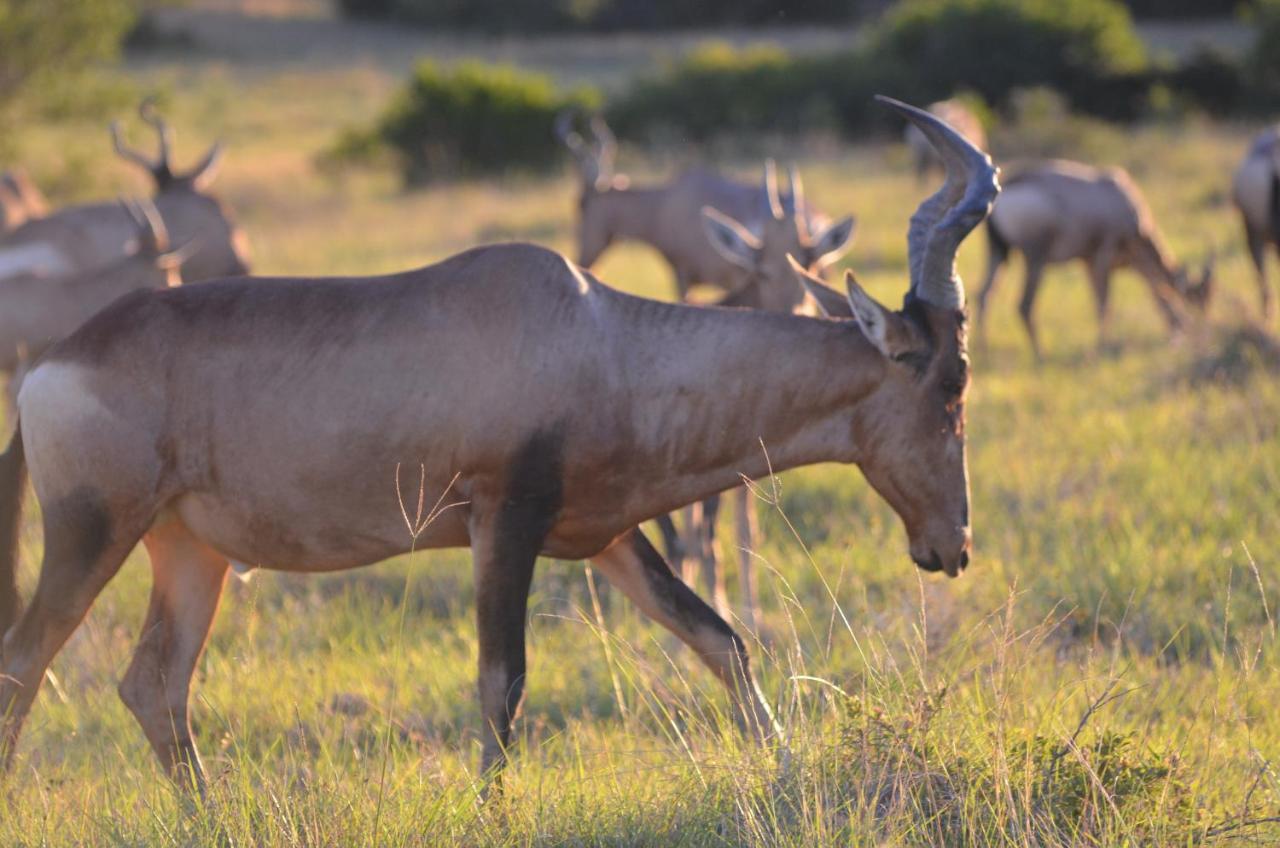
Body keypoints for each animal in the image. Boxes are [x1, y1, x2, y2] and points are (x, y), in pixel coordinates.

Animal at [972, 160, 1213, 358]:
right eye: (1195, 300)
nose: (1197, 335)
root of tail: (1009, 186)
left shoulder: (1087, 263)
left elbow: (1106, 300)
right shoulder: (1102, 258)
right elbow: (1104, 304)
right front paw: (1103, 346)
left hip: (998, 252)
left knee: (984, 294)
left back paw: (985, 350)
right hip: (1035, 259)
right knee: (1024, 305)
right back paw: (1040, 353)